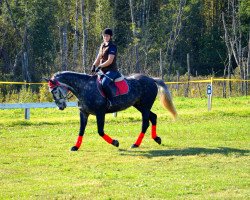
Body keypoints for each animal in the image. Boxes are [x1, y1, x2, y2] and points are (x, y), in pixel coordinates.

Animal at [46, 71, 177, 151]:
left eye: (54, 91)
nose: (60, 106)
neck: (84, 88)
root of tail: (151, 79)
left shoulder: (100, 113)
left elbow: (100, 131)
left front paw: (115, 142)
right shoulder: (83, 113)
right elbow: (81, 130)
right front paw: (75, 147)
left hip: (145, 106)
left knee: (145, 123)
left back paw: (136, 144)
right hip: (139, 105)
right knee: (153, 117)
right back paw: (157, 139)